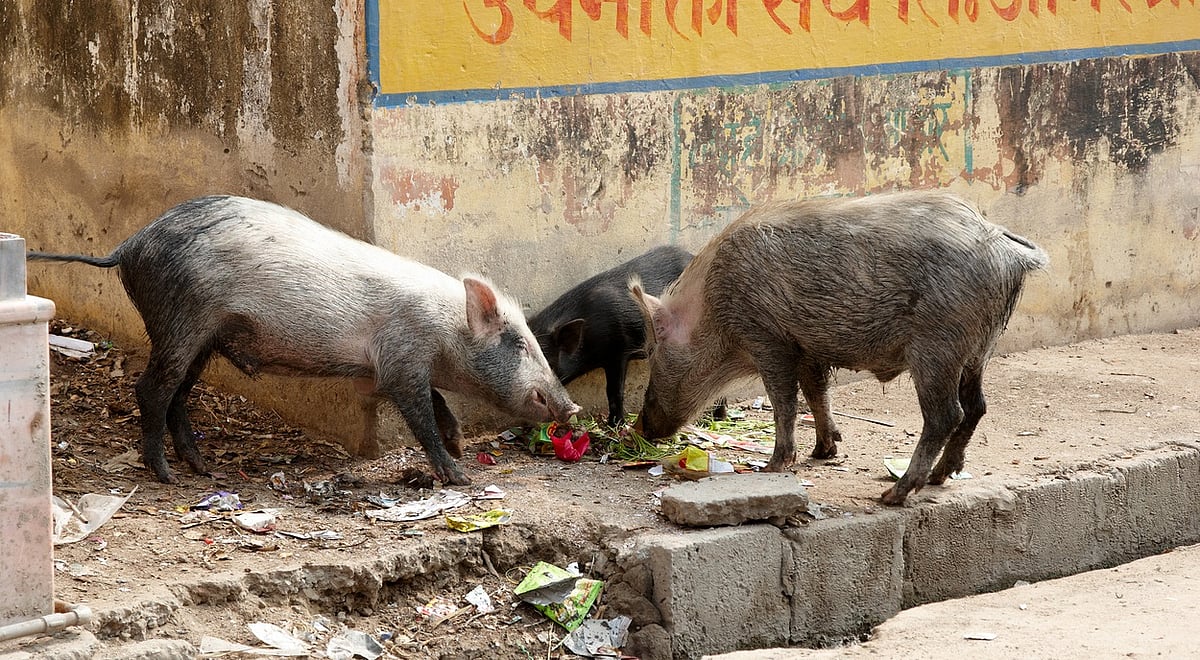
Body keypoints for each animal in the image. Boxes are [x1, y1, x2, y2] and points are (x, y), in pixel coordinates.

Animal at [28, 195, 579, 485]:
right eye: (520, 344)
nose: (571, 407)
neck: (443, 329)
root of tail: (127, 245)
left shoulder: (395, 366)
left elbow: (437, 401)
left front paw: (460, 445)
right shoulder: (400, 359)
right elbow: (421, 412)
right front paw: (459, 475)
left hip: (202, 337)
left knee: (178, 395)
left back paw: (203, 469)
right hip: (179, 321)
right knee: (151, 390)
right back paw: (165, 475)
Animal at [629, 190, 1048, 505]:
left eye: (651, 352)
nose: (639, 427)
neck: (713, 308)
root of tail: (1008, 251)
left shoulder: (768, 337)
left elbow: (785, 402)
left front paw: (773, 467)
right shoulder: (807, 348)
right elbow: (818, 394)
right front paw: (824, 452)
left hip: (938, 345)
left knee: (947, 414)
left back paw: (893, 495)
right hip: (979, 350)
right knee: (977, 407)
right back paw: (940, 477)